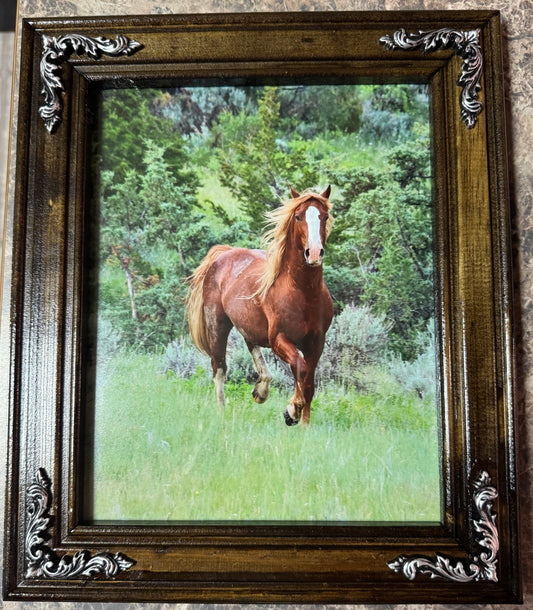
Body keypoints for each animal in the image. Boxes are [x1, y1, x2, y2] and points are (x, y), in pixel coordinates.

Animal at [185, 185, 330, 422]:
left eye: (325, 216)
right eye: (298, 216)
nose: (314, 253)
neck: (302, 294)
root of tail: (225, 253)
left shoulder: (316, 342)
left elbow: (309, 383)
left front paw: (304, 423)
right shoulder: (279, 339)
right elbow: (299, 367)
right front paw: (292, 410)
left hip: (248, 323)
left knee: (250, 344)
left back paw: (261, 390)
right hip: (217, 325)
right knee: (219, 368)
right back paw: (222, 413)